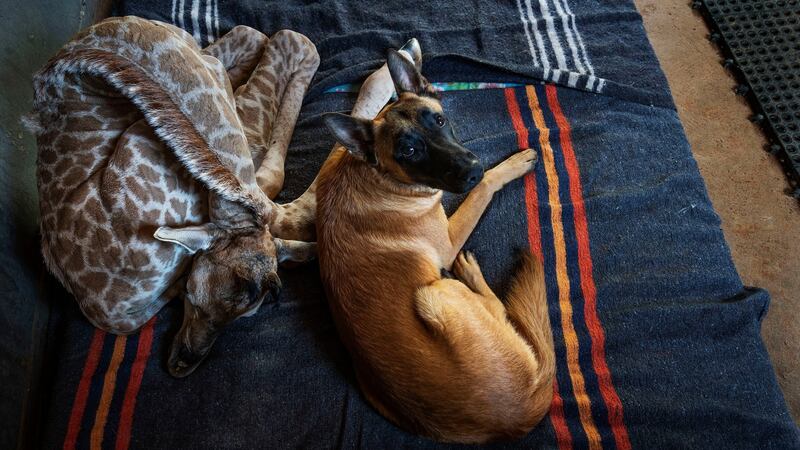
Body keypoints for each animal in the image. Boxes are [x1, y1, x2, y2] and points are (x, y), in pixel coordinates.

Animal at [29, 16, 320, 376]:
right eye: (191, 299)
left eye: (241, 318)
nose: (180, 367)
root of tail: (103, 311)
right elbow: (287, 39)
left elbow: (254, 37)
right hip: (146, 134)